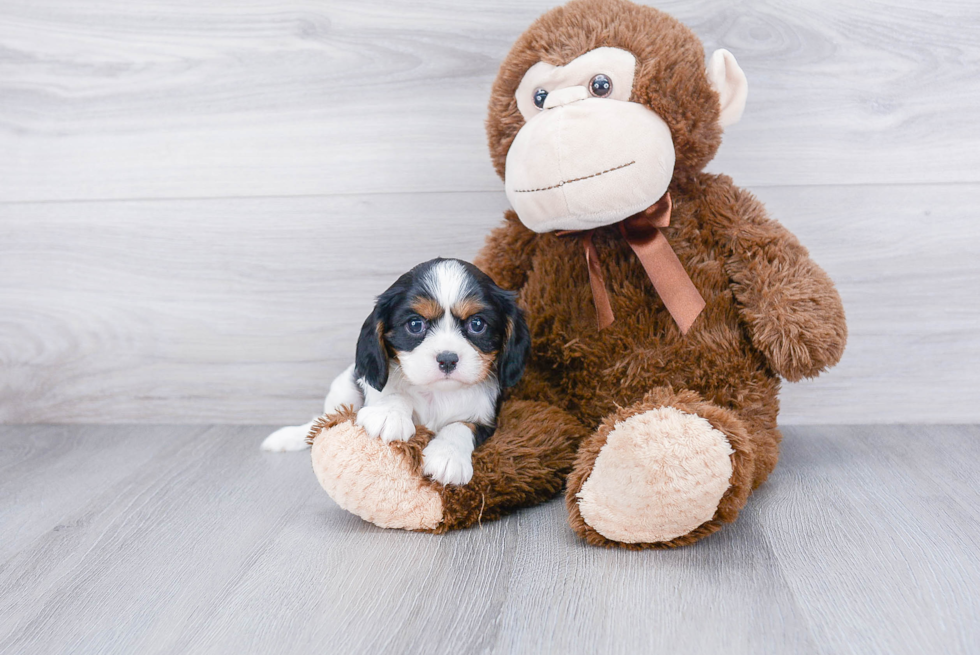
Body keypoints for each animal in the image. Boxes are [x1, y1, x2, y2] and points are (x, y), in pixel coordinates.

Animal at [262, 258, 528, 484]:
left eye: (477, 324)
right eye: (415, 324)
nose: (447, 359)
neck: (437, 393)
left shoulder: (487, 418)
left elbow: (462, 425)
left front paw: (448, 455)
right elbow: (394, 395)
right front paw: (388, 414)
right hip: (342, 390)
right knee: (320, 422)